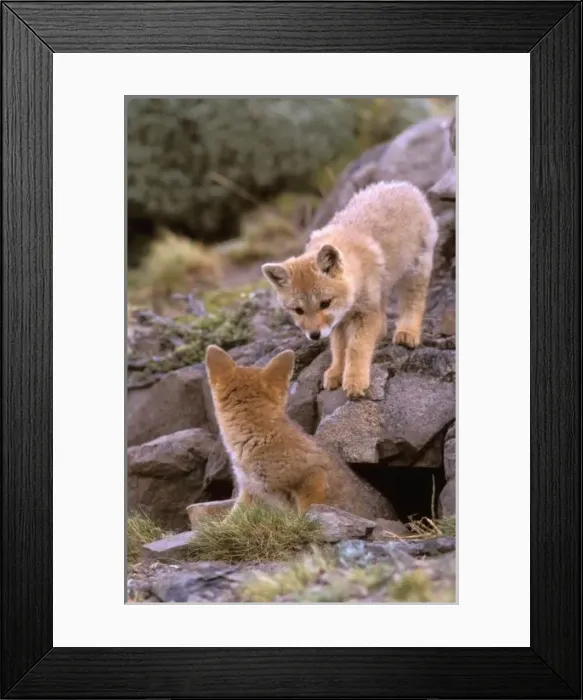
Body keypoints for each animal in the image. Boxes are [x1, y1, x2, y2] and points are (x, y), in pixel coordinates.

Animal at [262, 181, 438, 398]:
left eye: (324, 303)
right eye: (298, 310)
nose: (314, 335)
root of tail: (403, 185)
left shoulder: (365, 313)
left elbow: (356, 348)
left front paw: (355, 379)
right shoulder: (340, 321)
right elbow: (339, 349)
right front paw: (336, 372)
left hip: (414, 273)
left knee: (414, 303)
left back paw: (407, 331)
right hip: (382, 290)